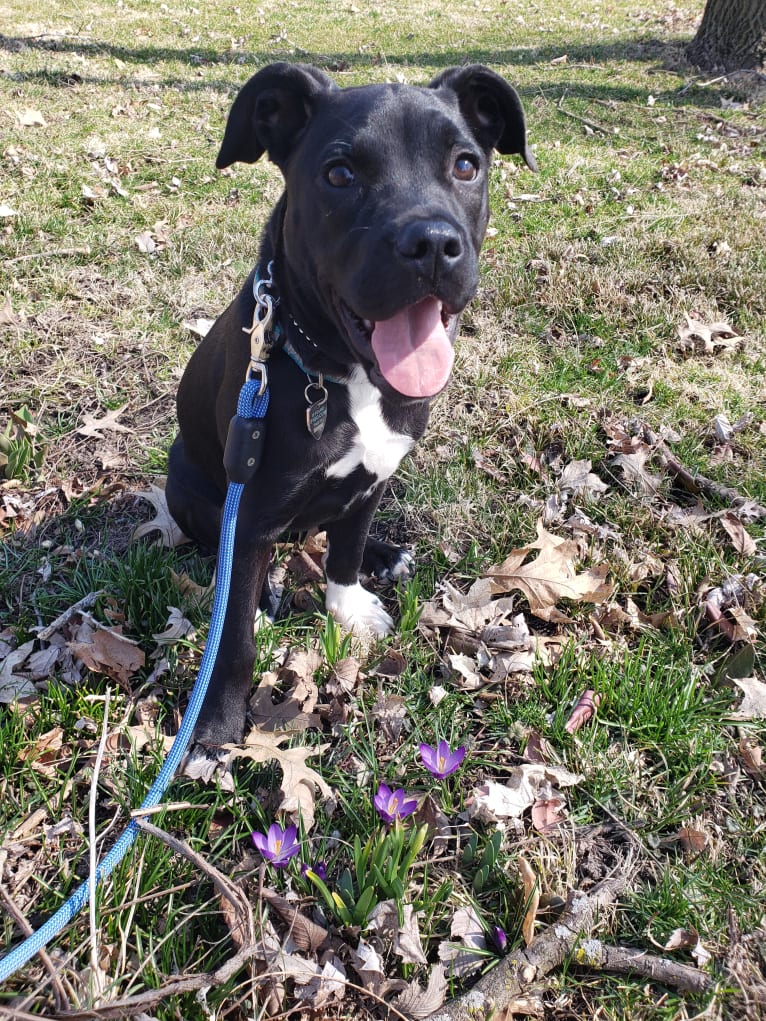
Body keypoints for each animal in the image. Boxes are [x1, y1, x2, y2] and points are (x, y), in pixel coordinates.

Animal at [165, 63, 535, 751]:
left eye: (466, 165)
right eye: (339, 174)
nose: (433, 243)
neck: (343, 374)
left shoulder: (376, 475)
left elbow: (344, 551)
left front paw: (351, 604)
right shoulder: (248, 512)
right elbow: (233, 637)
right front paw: (217, 720)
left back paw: (384, 556)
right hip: (188, 485)